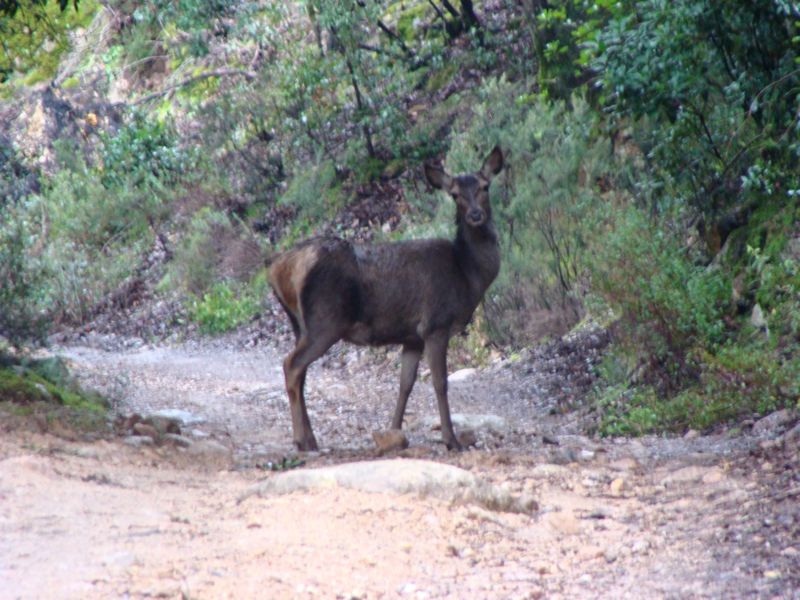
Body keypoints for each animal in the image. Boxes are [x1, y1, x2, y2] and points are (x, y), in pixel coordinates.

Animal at [272, 148, 504, 452]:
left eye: (485, 187)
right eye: (455, 194)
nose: (476, 215)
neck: (467, 275)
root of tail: (278, 270)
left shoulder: (412, 336)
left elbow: (405, 384)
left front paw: (393, 432)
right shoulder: (436, 324)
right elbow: (440, 382)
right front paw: (451, 440)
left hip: (300, 325)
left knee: (301, 373)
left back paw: (310, 438)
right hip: (325, 321)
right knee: (292, 365)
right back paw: (302, 441)